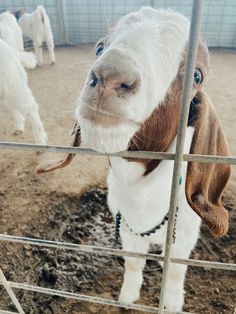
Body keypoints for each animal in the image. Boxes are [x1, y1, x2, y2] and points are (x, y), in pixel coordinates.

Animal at [36, 7, 231, 312]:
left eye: (197, 76)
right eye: (99, 47)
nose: (109, 74)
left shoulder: (185, 236)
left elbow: (175, 269)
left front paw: (172, 303)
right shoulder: (127, 230)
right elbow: (133, 263)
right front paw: (127, 297)